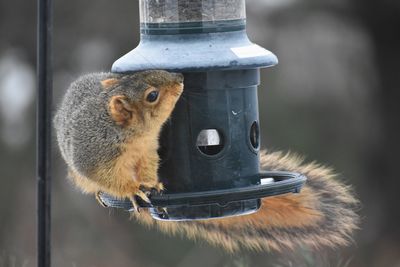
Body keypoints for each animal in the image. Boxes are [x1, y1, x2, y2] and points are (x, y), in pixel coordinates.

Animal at [54, 70, 360, 253]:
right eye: (152, 95)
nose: (180, 76)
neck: (133, 136)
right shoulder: (94, 155)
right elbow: (109, 178)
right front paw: (132, 190)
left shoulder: (148, 152)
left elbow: (149, 170)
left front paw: (153, 184)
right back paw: (100, 194)